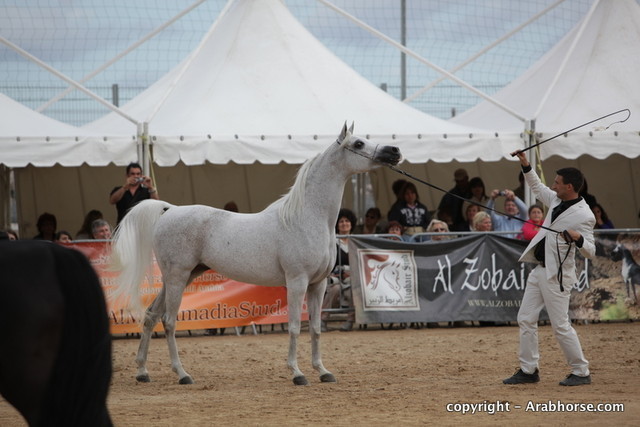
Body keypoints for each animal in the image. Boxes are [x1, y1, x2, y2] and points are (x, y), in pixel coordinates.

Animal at [110, 123, 401, 386]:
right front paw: (297, 373)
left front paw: (323, 371)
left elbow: (316, 328)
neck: (306, 217)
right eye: (359, 144)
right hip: (178, 277)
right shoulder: (297, 282)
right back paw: (182, 374)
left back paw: (142, 372)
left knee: (151, 316)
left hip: (181, 277)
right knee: (169, 322)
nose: (394, 151)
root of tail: (169, 210)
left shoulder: (318, 285)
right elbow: (294, 326)